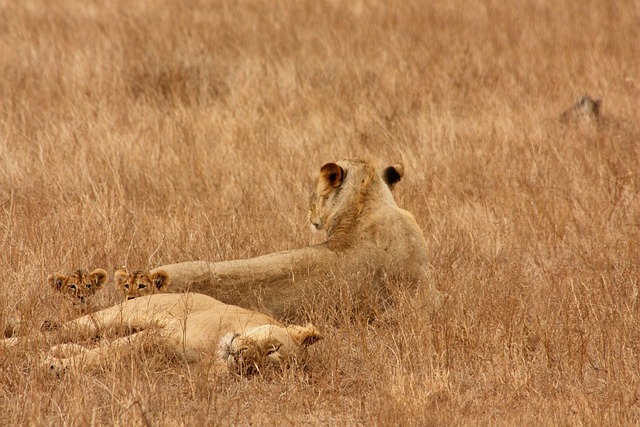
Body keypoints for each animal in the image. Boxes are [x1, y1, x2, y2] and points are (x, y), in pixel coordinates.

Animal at [0, 292, 320, 376]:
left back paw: (58, 352)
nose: (242, 357)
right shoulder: (160, 335)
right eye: (272, 348)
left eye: (256, 370)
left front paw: (56, 362)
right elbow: (105, 355)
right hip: (117, 316)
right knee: (55, 333)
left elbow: (107, 355)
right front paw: (54, 367)